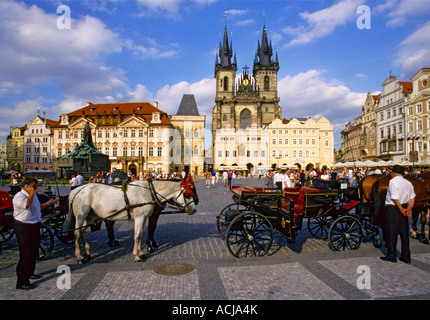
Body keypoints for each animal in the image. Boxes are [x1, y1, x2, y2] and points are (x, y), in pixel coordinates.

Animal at [62, 180, 197, 262]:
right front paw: (136, 256)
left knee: (82, 232)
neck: (148, 192)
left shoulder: (143, 218)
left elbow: (141, 234)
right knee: (77, 233)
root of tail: (77, 190)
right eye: (187, 194)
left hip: (90, 216)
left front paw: (141, 253)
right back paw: (79, 256)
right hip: (81, 216)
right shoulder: (139, 217)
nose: (194, 209)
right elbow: (137, 236)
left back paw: (87, 253)